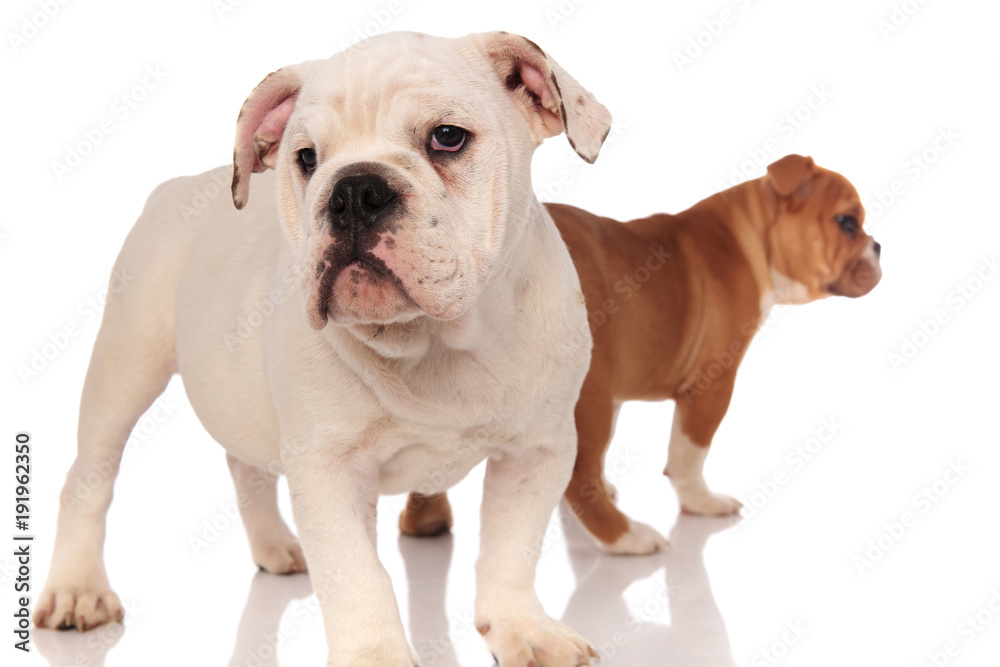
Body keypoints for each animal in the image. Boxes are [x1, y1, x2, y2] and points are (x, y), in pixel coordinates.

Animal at [33, 31, 608, 667]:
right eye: (306, 159)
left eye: (447, 137)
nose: (354, 189)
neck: (431, 341)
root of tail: (173, 188)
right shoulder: (328, 466)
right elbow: (358, 575)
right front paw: (376, 657)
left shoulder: (538, 450)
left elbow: (511, 551)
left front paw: (523, 629)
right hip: (124, 366)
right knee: (89, 478)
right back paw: (78, 589)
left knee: (245, 464)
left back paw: (276, 547)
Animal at [398, 155, 884, 552]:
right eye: (847, 222)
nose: (879, 245)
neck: (752, 236)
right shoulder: (709, 388)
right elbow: (688, 454)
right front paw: (701, 502)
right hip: (588, 394)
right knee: (581, 476)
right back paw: (627, 538)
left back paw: (425, 521)